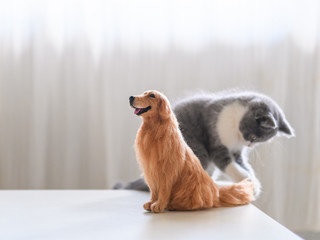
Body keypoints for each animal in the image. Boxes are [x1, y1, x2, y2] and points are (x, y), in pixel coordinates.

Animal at [115, 91, 296, 196]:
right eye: (252, 137)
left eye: (258, 140)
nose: (249, 145)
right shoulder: (216, 140)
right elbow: (229, 164)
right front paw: (249, 182)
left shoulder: (237, 151)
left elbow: (243, 165)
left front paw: (252, 182)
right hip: (196, 150)